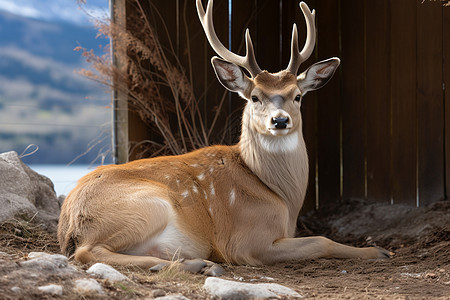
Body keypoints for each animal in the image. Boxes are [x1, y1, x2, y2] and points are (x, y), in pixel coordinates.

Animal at [58, 0, 392, 276]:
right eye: (255, 97)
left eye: (297, 96)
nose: (279, 120)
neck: (281, 197)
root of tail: (69, 224)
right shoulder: (246, 241)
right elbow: (323, 240)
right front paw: (379, 251)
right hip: (145, 206)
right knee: (88, 253)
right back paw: (197, 264)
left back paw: (194, 263)